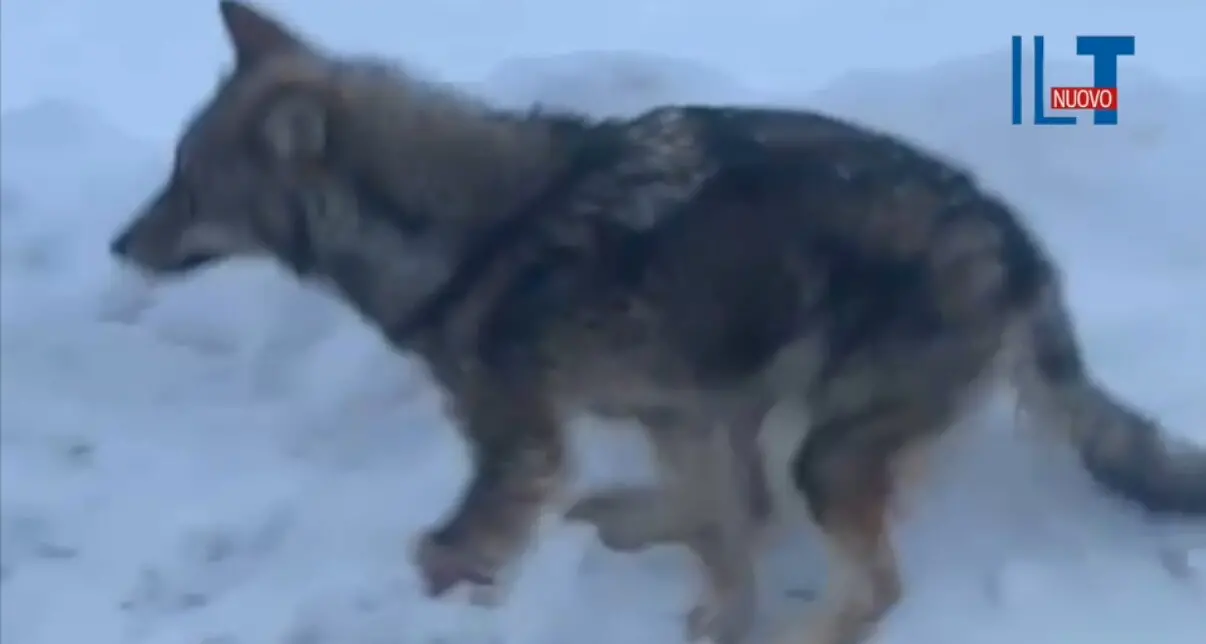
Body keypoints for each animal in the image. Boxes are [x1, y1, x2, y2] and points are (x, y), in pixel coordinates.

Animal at [109, 3, 1206, 644]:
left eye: (188, 187)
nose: (119, 245)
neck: (466, 231)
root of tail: (1020, 247)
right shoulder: (680, 408)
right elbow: (723, 523)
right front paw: (687, 579)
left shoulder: (526, 447)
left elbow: (459, 550)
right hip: (799, 416)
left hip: (829, 448)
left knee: (874, 588)